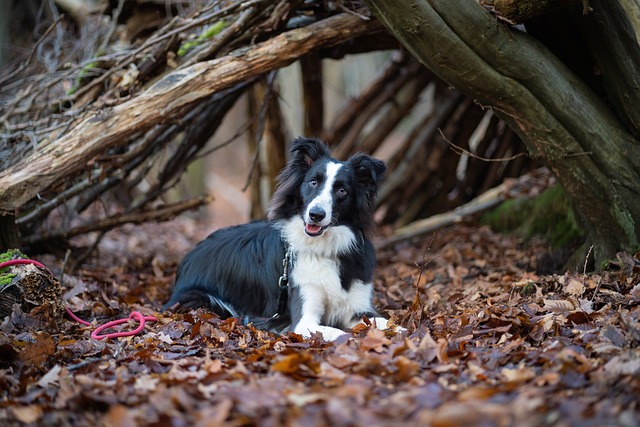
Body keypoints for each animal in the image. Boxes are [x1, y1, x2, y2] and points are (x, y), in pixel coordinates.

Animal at [164, 137, 396, 342]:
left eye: (342, 190)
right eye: (313, 182)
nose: (316, 215)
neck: (325, 248)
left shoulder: (359, 308)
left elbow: (385, 322)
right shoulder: (303, 319)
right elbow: (335, 331)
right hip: (200, 297)